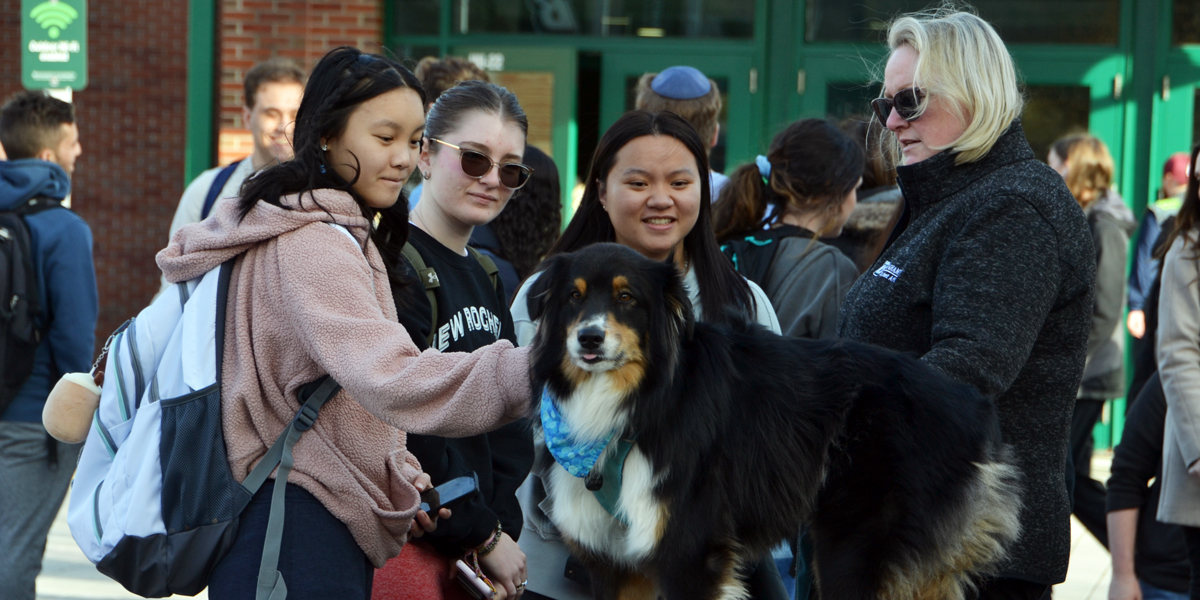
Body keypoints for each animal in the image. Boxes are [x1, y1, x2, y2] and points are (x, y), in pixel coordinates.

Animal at [525, 242, 1022, 600]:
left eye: (627, 298)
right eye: (573, 296)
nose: (589, 338)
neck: (642, 398)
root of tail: (974, 405)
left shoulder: (688, 552)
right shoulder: (614, 563)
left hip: (851, 549)